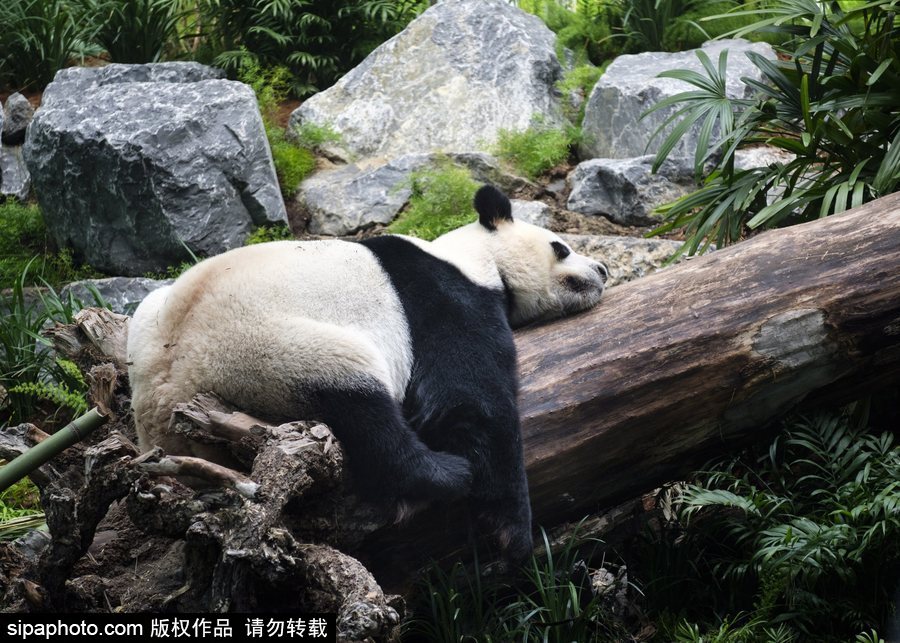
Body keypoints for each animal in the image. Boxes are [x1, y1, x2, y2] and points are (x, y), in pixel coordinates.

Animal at [125, 184, 604, 560]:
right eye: (560, 247)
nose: (602, 269)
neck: (469, 257)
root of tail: (160, 409)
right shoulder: (439, 299)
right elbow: (469, 399)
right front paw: (512, 531)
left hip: (153, 320)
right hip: (263, 350)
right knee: (358, 404)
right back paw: (444, 472)